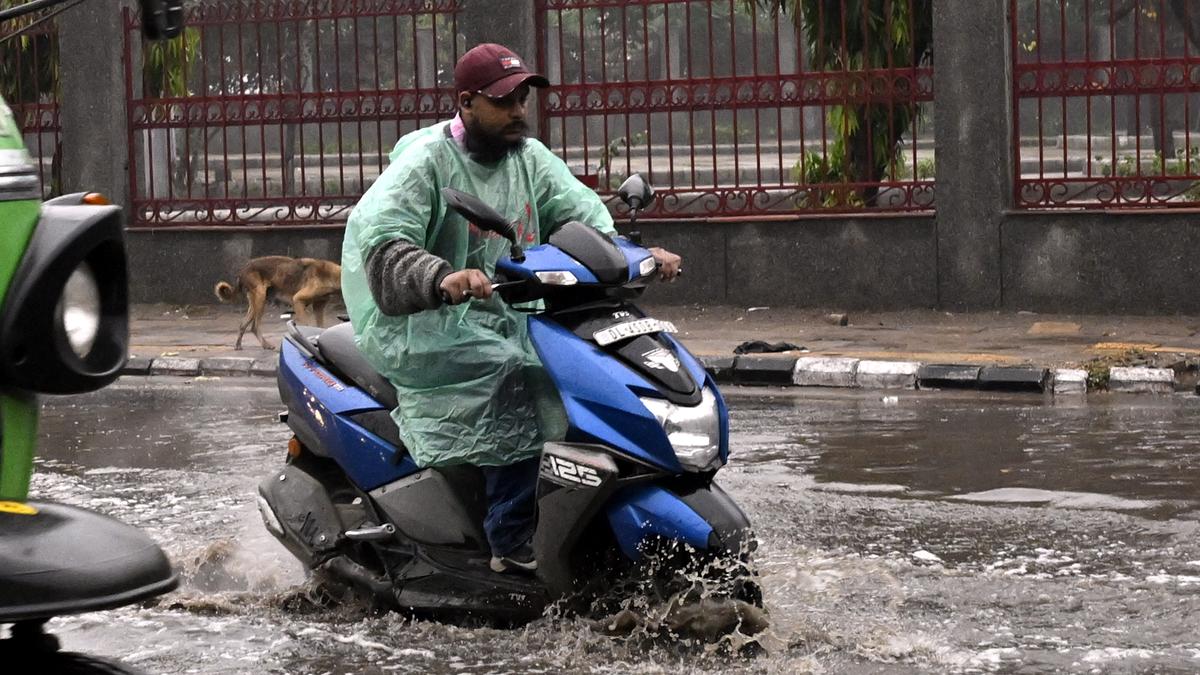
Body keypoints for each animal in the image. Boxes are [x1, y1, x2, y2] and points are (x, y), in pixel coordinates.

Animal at [214, 254, 343, 348]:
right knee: (254, 326)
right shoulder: (298, 300)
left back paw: (238, 345)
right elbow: (306, 326)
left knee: (243, 324)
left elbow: (320, 327)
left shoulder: (318, 306)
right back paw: (266, 345)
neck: (333, 275)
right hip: (260, 297)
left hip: (255, 302)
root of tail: (243, 270)